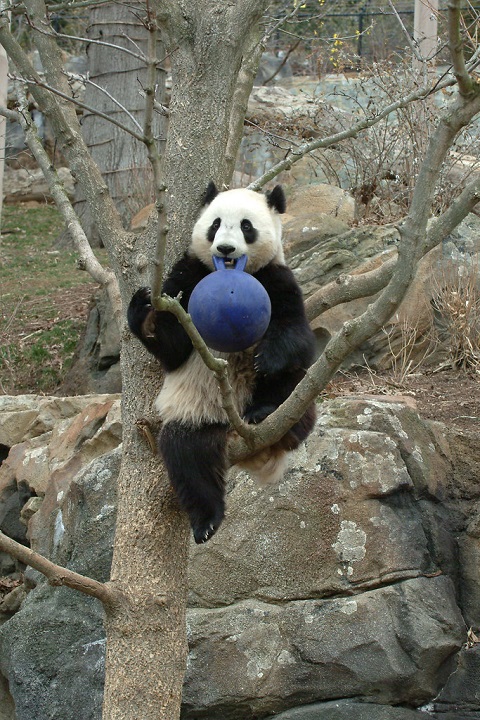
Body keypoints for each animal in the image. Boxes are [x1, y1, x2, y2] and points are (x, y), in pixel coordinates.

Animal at [128, 183, 316, 544]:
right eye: (215, 224)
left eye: (246, 226)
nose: (226, 248)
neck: (230, 273)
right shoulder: (188, 274)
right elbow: (173, 346)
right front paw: (144, 313)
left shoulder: (277, 276)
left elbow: (297, 334)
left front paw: (266, 359)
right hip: (196, 416)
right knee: (187, 458)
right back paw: (206, 523)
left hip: (285, 400)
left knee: (294, 386)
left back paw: (268, 413)